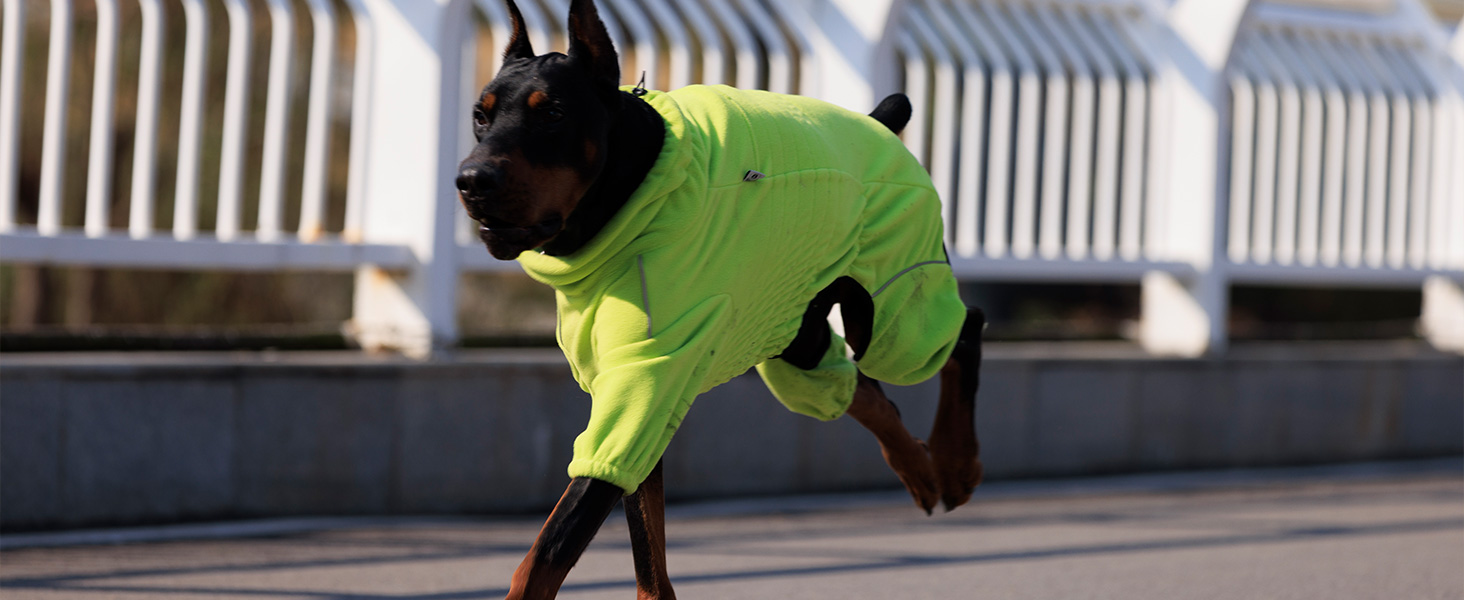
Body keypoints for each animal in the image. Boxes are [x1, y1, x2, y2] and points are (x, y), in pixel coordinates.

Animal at [453, 2, 983, 597]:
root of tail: (879, 123)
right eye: (480, 115)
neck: (628, 201)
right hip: (793, 329)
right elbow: (648, 556)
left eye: (553, 113)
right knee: (862, 389)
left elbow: (549, 550)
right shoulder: (635, 394)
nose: (471, 180)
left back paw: (956, 463)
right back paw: (922, 470)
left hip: (892, 308)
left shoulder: (644, 383)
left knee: (963, 329)